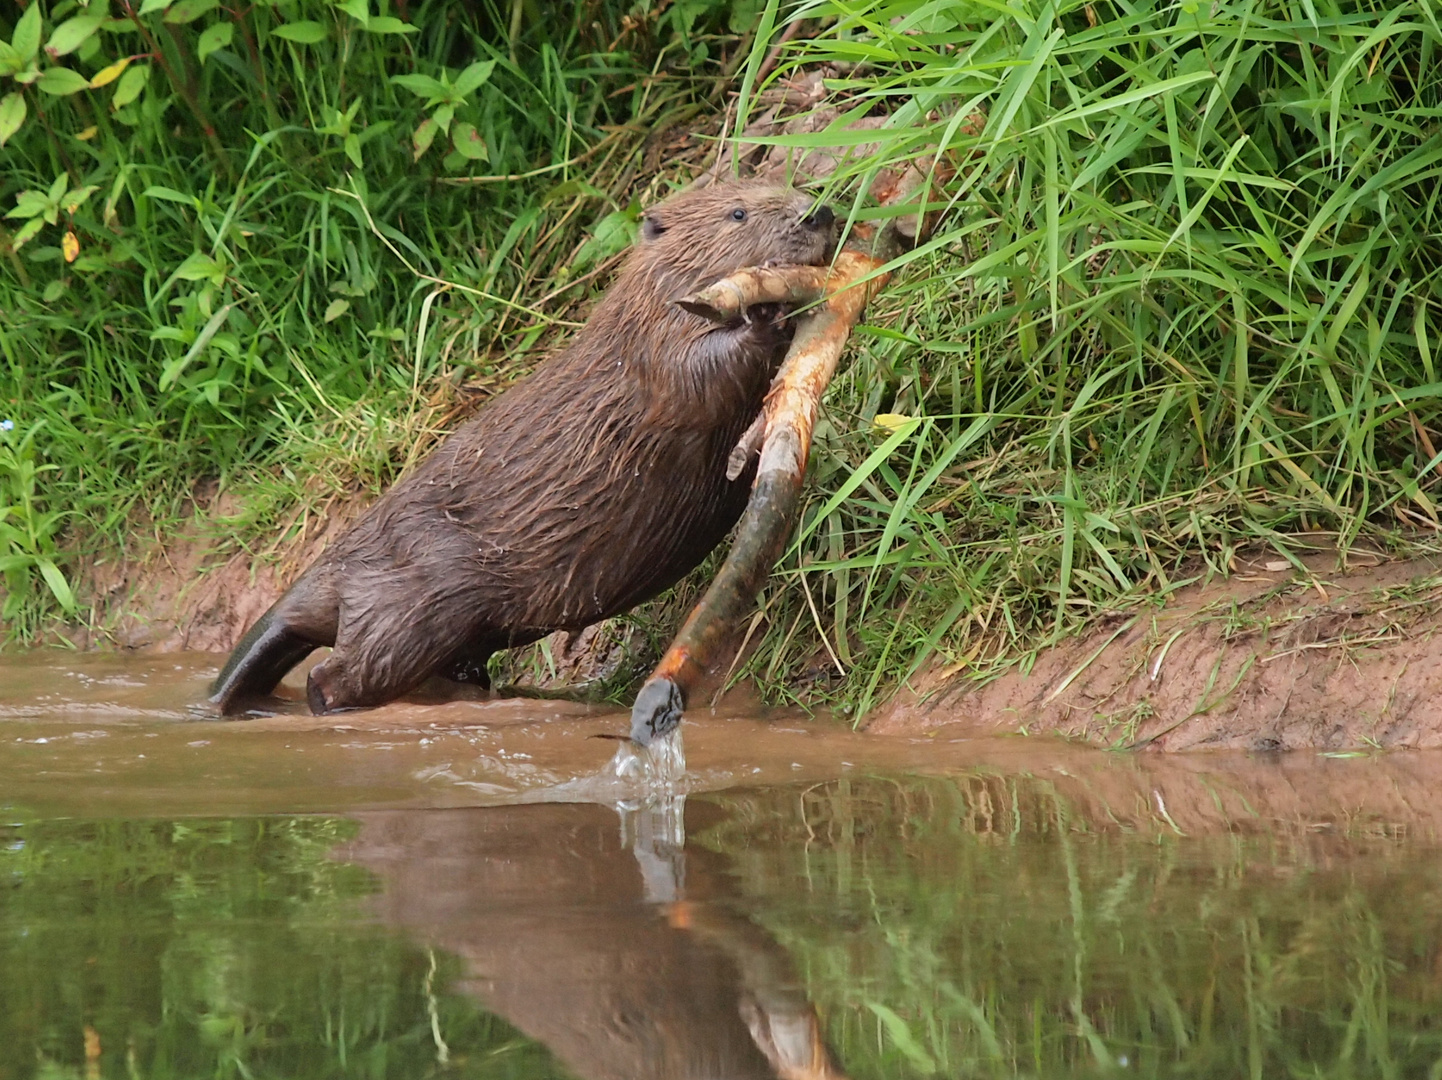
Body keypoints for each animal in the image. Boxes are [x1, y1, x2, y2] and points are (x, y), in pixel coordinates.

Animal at [206, 183, 836, 723]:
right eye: (738, 212)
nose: (820, 211)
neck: (635, 306)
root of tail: (313, 583)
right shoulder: (648, 352)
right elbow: (699, 371)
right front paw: (765, 313)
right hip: (415, 608)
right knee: (338, 677)